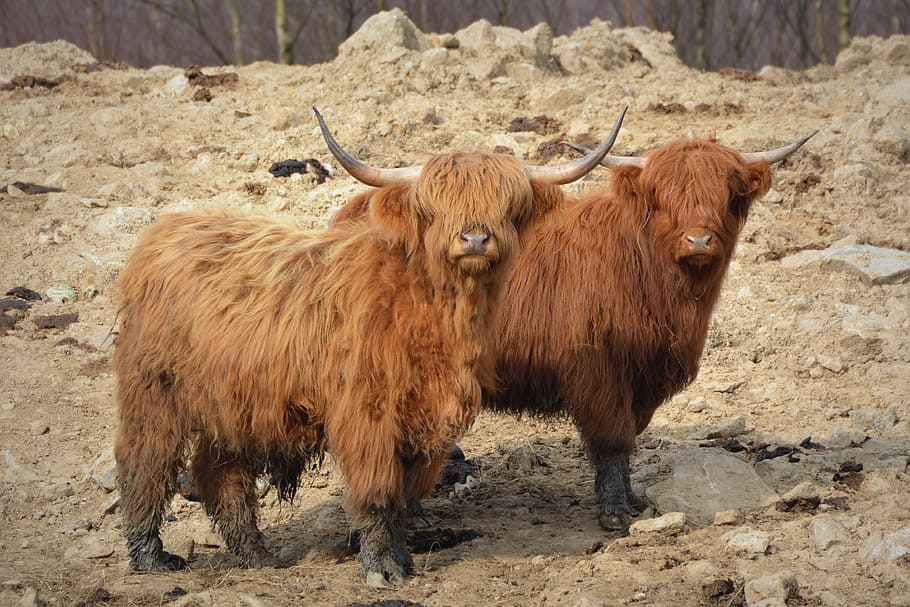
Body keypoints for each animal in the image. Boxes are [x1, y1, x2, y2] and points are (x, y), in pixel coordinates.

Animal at [112, 107, 626, 585]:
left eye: (509, 205)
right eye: (434, 207)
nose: (475, 238)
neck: (431, 315)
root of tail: (169, 227)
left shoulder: (429, 423)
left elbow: (405, 495)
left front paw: (401, 556)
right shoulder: (367, 414)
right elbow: (379, 493)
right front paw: (383, 567)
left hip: (235, 405)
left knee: (219, 473)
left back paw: (255, 557)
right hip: (154, 393)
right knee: (144, 466)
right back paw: (151, 557)